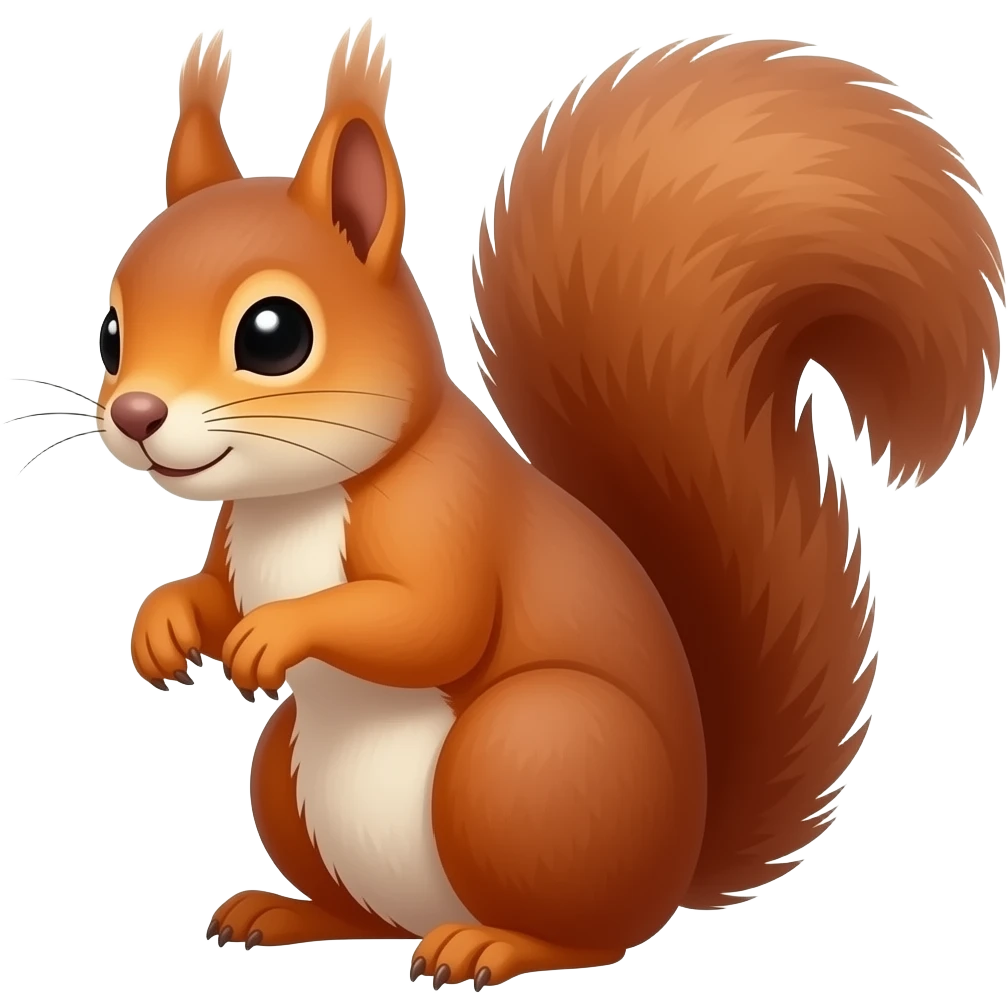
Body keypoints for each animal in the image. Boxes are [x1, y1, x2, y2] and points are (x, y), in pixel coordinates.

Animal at [91, 22, 1001, 989]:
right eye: (110, 333)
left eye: (275, 334)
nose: (135, 415)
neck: (294, 500)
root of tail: (676, 866)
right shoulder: (238, 541)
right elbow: (212, 591)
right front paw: (162, 625)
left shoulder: (445, 513)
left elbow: (432, 621)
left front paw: (275, 631)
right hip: (294, 780)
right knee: (368, 918)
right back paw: (289, 912)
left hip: (531, 756)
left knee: (590, 935)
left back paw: (494, 946)